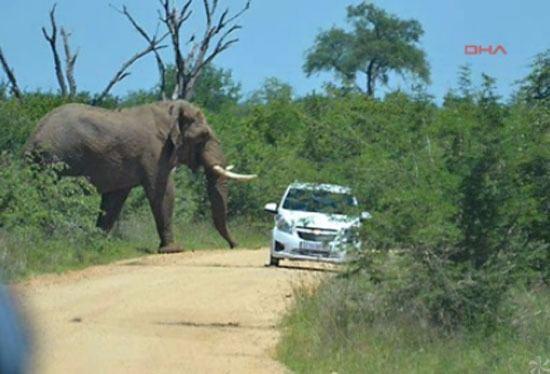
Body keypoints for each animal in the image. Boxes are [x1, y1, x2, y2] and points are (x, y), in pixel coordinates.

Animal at [24, 99, 258, 253]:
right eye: (203, 136)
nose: (235, 245)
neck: (169, 109)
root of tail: (33, 137)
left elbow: (114, 198)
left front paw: (99, 244)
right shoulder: (155, 152)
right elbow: (163, 191)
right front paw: (174, 250)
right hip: (55, 159)